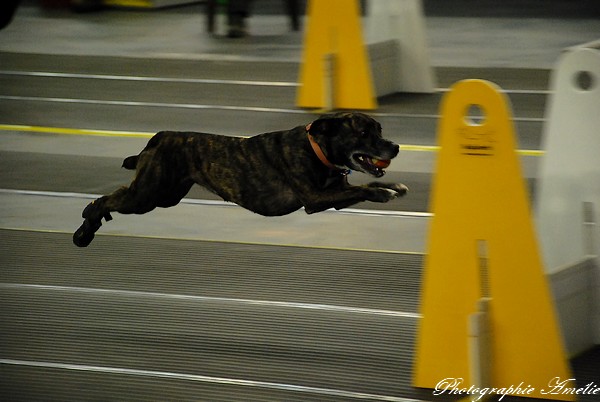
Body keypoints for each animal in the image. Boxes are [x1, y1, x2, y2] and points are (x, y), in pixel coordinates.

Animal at [71, 111, 408, 247]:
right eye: (363, 133)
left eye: (379, 129)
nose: (395, 146)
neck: (317, 148)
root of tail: (159, 137)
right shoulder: (315, 198)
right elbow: (365, 188)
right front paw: (383, 194)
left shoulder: (336, 193)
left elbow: (366, 184)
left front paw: (392, 186)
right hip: (146, 196)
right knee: (106, 199)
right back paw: (85, 228)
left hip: (165, 196)